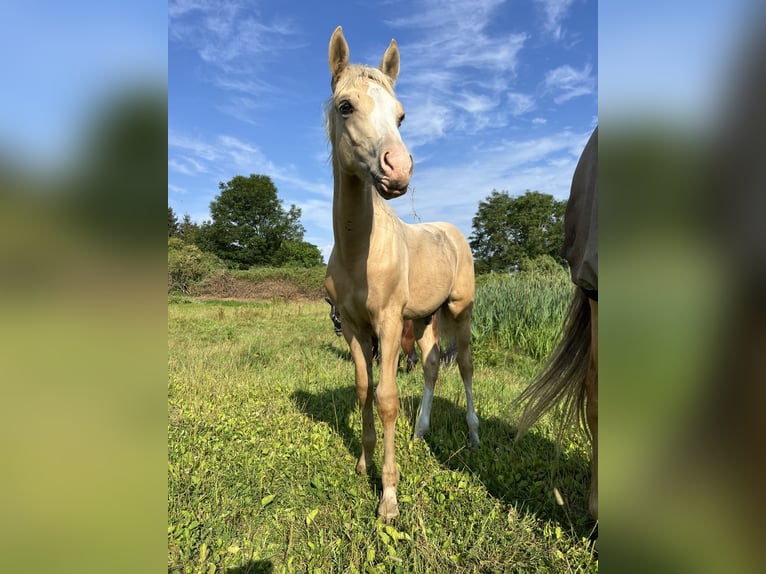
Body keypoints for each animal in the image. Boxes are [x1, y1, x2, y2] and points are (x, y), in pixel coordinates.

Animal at [324, 27, 480, 520]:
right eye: (346, 106)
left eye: (401, 115)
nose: (399, 169)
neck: (360, 252)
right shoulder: (356, 327)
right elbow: (363, 390)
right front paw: (363, 461)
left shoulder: (390, 323)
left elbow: (388, 398)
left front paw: (389, 496)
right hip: (426, 317)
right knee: (430, 364)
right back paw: (421, 431)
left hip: (459, 311)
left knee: (464, 365)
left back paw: (473, 432)